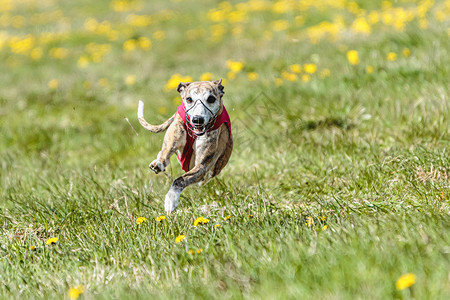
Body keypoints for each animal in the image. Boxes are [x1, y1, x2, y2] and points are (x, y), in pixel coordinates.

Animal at [138, 77, 234, 213]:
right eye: (189, 99)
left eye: (211, 99)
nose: (197, 119)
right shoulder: (174, 135)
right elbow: (165, 153)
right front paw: (159, 163)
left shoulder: (202, 166)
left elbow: (180, 179)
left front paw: (171, 199)